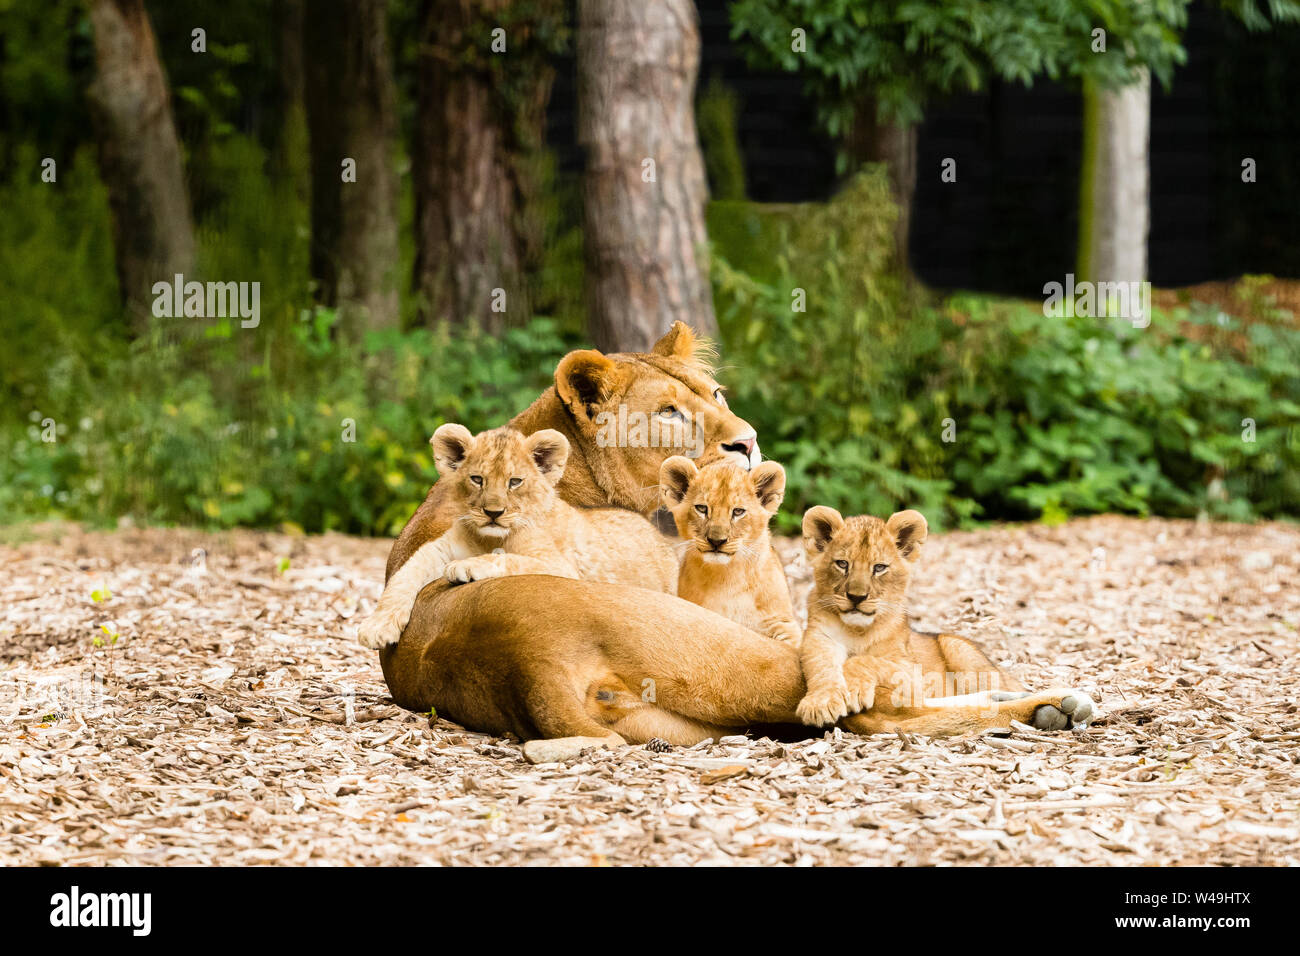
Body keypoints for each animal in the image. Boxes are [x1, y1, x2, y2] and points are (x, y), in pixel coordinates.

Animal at [357, 424, 677, 650]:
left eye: (515, 482)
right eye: (477, 479)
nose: (493, 512)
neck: (489, 538)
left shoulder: (561, 567)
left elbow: (510, 559)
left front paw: (468, 566)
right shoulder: (439, 549)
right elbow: (404, 575)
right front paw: (376, 626)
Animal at [796, 505, 1094, 730]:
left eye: (879, 568)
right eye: (842, 564)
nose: (856, 597)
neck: (857, 630)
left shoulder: (908, 668)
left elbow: (864, 660)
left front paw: (855, 687)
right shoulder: (816, 639)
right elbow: (822, 666)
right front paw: (820, 703)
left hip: (958, 648)